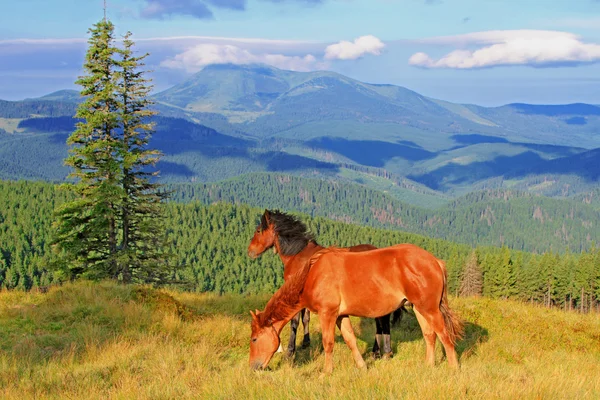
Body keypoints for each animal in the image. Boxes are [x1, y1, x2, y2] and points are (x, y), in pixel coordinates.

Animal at [246, 211, 400, 358]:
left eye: (258, 230)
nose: (250, 251)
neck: (298, 256)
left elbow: (294, 323)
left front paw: (290, 352)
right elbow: (306, 319)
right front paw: (305, 342)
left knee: (382, 321)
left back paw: (383, 352)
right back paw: (378, 352)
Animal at [248, 244, 464, 376]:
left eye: (254, 339)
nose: (253, 367)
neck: (313, 274)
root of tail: (435, 261)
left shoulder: (327, 314)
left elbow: (328, 343)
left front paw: (326, 372)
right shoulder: (340, 316)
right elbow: (350, 340)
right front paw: (362, 366)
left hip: (430, 310)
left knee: (444, 335)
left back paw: (453, 368)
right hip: (420, 309)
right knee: (430, 335)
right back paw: (429, 365)